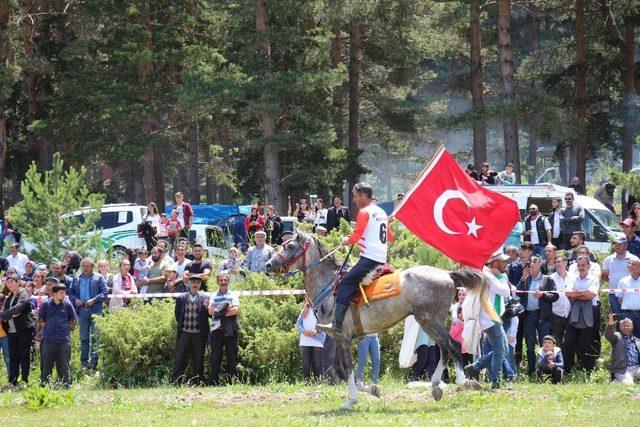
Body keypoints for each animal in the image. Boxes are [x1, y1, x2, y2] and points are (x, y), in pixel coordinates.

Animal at [262, 231, 482, 412]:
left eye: (290, 246)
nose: (268, 265)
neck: (331, 287)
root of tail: (447, 274)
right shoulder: (344, 339)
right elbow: (345, 371)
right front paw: (372, 390)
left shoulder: (340, 337)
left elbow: (346, 370)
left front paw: (351, 400)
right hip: (429, 322)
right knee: (445, 348)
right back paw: (436, 386)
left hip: (430, 320)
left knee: (453, 345)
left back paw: (464, 382)